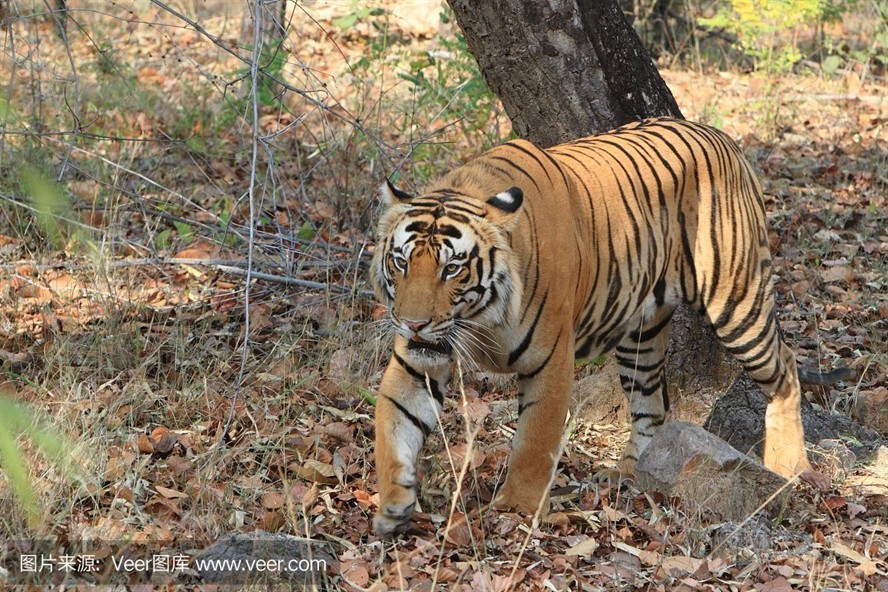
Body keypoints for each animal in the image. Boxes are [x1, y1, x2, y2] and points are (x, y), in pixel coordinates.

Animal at [368, 117, 852, 538]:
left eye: (451, 268)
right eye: (401, 262)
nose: (413, 322)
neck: (480, 319)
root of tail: (723, 137)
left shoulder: (551, 360)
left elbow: (533, 441)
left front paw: (516, 511)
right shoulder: (417, 359)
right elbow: (392, 424)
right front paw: (392, 504)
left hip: (736, 300)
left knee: (785, 367)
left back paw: (790, 466)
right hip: (641, 336)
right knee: (652, 404)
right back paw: (630, 474)